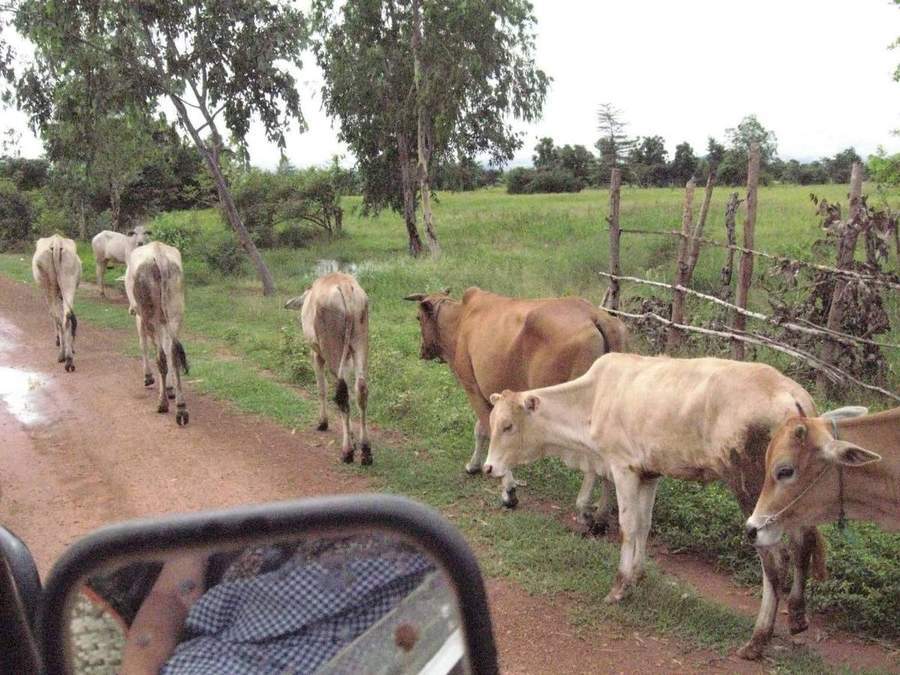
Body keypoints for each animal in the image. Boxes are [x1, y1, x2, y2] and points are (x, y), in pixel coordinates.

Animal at [32, 235, 82, 372]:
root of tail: (57, 241)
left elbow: (52, 315)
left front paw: (58, 340)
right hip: (69, 283)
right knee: (67, 317)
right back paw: (69, 359)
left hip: (49, 288)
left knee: (58, 318)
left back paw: (62, 356)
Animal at [125, 241, 190, 426]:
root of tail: (158, 252)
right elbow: (169, 351)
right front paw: (170, 388)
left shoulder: (139, 317)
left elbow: (143, 344)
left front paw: (148, 377)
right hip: (175, 314)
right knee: (173, 354)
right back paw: (181, 407)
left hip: (150, 316)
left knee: (160, 357)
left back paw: (163, 404)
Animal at [285, 272, 371, 465]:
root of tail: (345, 287)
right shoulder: (346, 359)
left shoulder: (316, 354)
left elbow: (321, 388)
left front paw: (322, 423)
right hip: (359, 343)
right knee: (360, 389)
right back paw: (366, 451)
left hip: (331, 349)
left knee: (342, 394)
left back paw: (347, 451)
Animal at [404, 287, 627, 530]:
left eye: (418, 318)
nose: (421, 351)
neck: (460, 319)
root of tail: (597, 316)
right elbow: (481, 430)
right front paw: (474, 466)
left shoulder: (472, 387)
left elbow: (488, 432)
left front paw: (508, 492)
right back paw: (603, 513)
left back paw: (585, 507)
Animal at [482, 353, 824, 660]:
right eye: (493, 421)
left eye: (508, 426)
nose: (488, 467)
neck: (592, 401)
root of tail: (793, 396)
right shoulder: (649, 474)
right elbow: (644, 525)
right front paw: (637, 575)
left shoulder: (623, 468)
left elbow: (627, 527)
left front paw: (619, 587)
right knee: (803, 544)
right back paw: (797, 616)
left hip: (752, 488)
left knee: (775, 559)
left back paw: (757, 641)